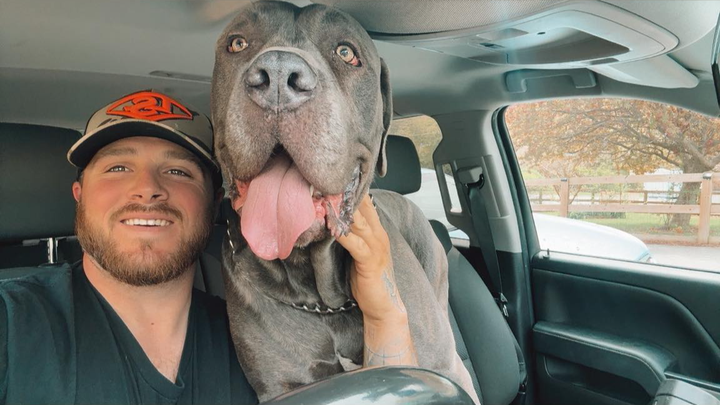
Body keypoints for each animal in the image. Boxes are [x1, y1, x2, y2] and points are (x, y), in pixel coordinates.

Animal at [211, 2, 479, 403]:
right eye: (238, 43)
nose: (277, 74)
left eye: (346, 52)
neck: (322, 299)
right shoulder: (281, 387)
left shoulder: (444, 368)